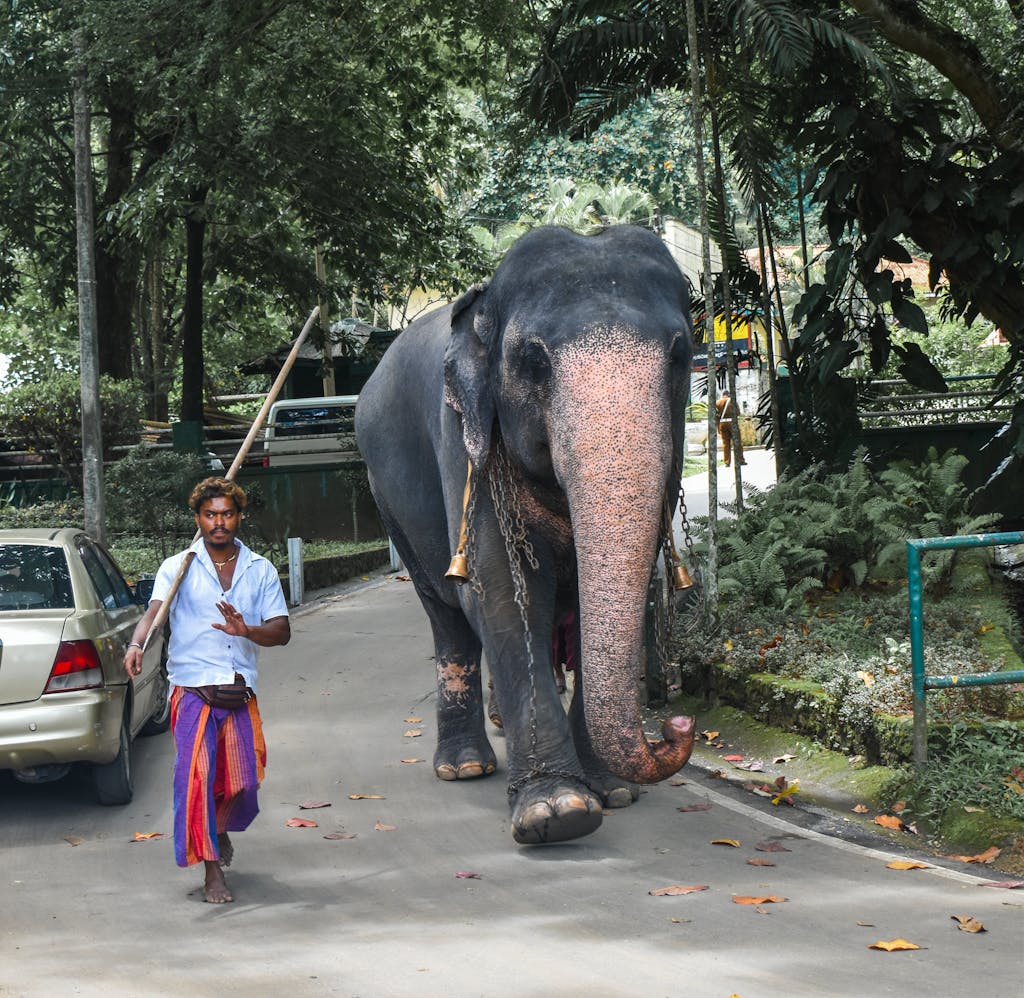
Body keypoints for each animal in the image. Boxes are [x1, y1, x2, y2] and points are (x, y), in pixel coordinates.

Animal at [355, 225, 696, 845]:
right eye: (533, 362)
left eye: (681, 357)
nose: (677, 726)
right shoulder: (465, 445)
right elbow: (499, 597)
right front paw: (558, 812)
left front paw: (612, 793)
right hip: (385, 497)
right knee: (446, 613)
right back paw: (465, 766)